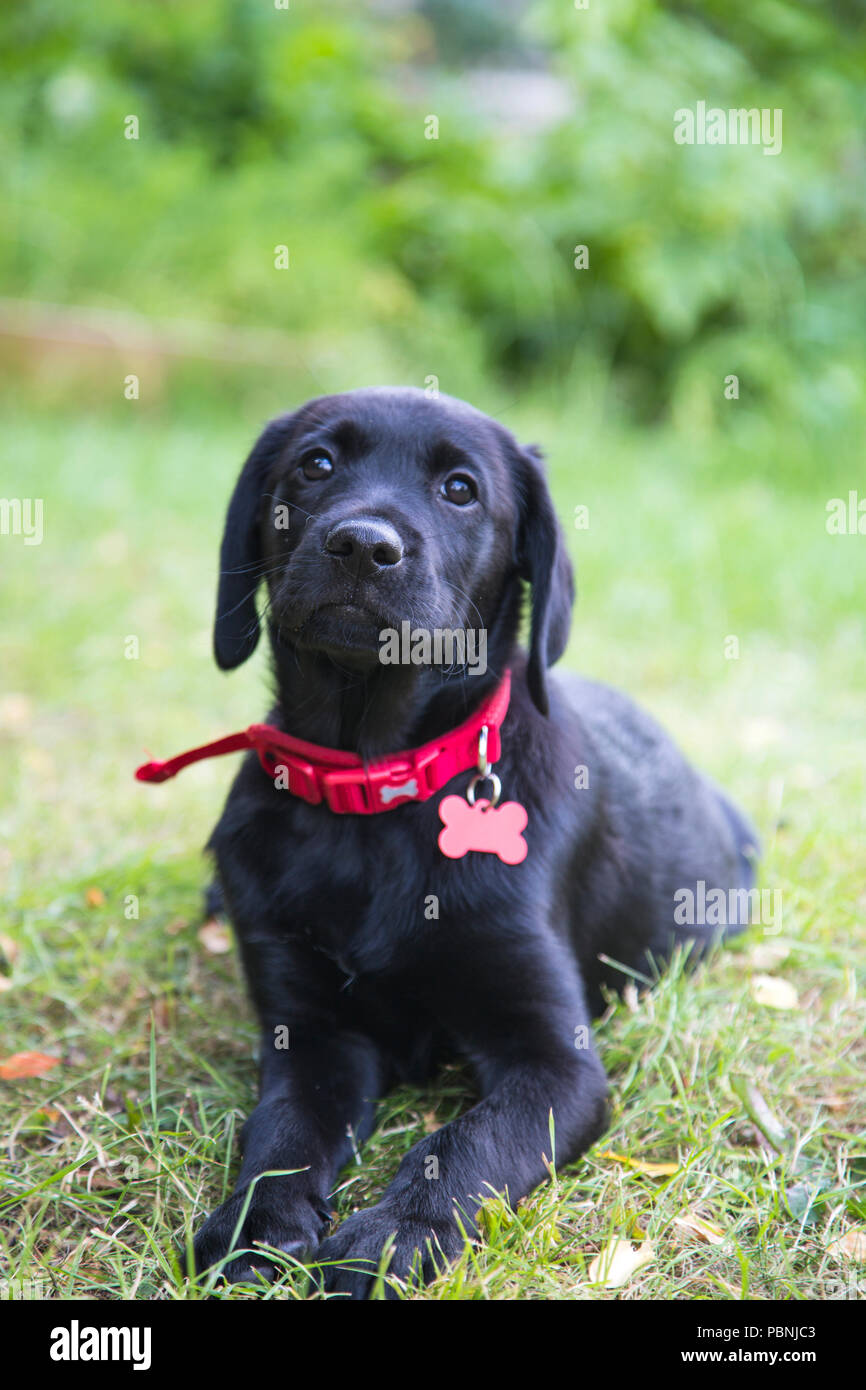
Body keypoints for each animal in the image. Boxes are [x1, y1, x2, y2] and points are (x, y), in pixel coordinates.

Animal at [186, 386, 756, 1295]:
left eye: (460, 489)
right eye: (315, 464)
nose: (362, 544)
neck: (376, 790)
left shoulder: (555, 1063)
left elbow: (464, 1145)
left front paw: (390, 1236)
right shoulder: (308, 1030)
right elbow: (283, 1128)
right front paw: (255, 1224)